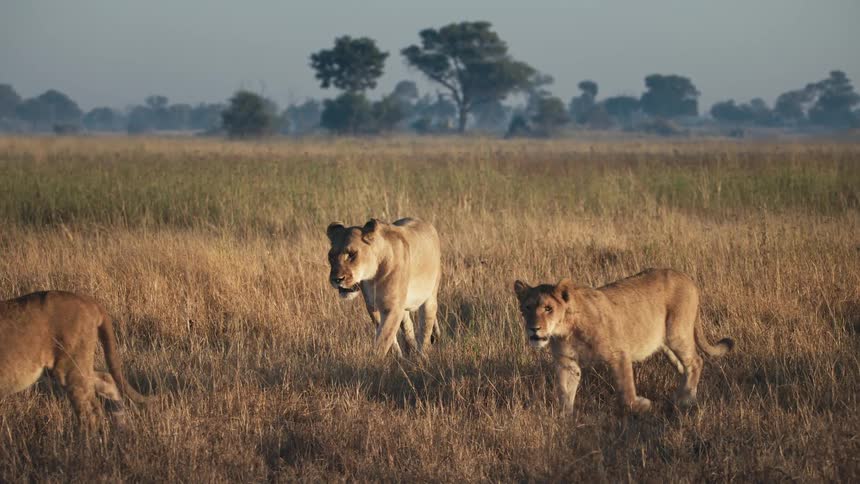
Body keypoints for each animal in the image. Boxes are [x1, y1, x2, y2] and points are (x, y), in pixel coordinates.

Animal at [0, 291, 149, 428]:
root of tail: (89, 301)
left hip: (70, 366)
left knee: (90, 412)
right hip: (71, 367)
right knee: (106, 379)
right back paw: (121, 427)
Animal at [326, 218, 442, 358]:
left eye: (352, 254)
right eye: (331, 256)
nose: (336, 279)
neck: (372, 277)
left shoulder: (392, 308)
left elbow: (383, 339)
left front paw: (372, 360)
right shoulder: (373, 307)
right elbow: (388, 337)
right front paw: (398, 357)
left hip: (430, 297)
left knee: (425, 329)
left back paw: (422, 355)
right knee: (408, 328)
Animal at [513, 268, 734, 414]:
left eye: (548, 308)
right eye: (527, 308)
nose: (533, 328)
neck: (565, 330)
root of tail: (687, 277)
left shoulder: (619, 354)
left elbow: (626, 393)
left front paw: (642, 405)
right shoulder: (567, 362)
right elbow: (564, 392)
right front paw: (564, 419)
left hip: (677, 334)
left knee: (696, 361)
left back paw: (686, 399)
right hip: (666, 345)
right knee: (684, 366)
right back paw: (683, 393)